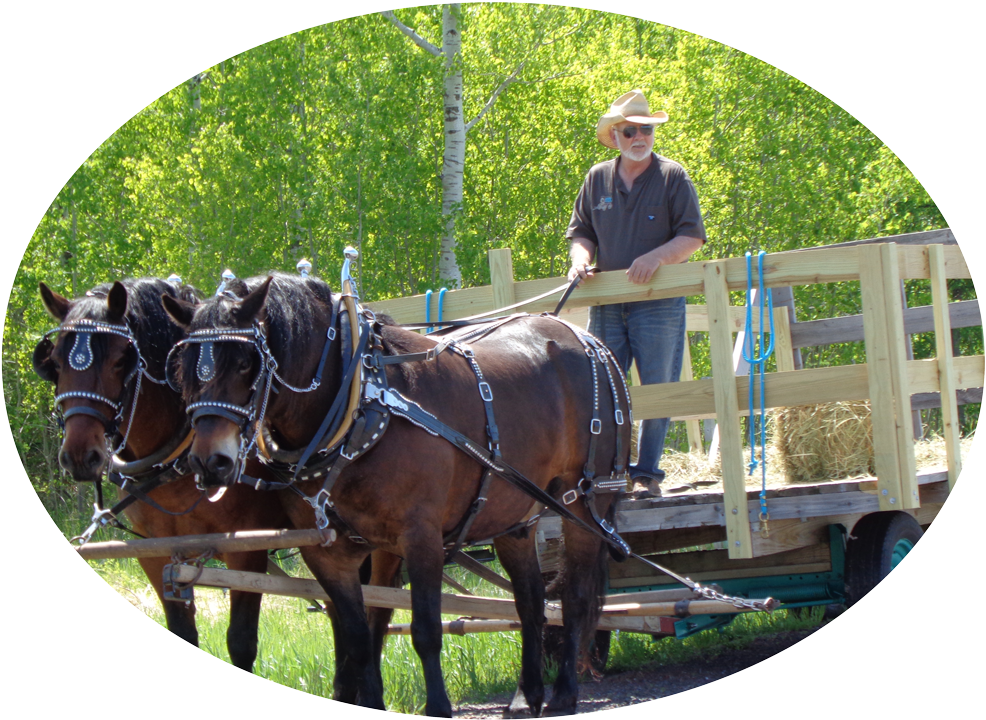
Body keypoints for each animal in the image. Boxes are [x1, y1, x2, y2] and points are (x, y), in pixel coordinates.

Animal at [33, 277, 293, 671]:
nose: (80, 455)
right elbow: (184, 628)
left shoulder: (248, 551)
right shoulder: (157, 553)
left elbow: (242, 641)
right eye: (56, 363)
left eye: (121, 360)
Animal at [162, 271, 632, 716]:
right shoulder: (329, 554)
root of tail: (588, 340)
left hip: (583, 504)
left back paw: (564, 692)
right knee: (530, 601)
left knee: (575, 598)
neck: (360, 406)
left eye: (246, 362)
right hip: (514, 513)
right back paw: (524, 696)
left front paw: (438, 706)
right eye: (183, 367)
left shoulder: (420, 537)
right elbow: (358, 636)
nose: (209, 462)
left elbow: (425, 630)